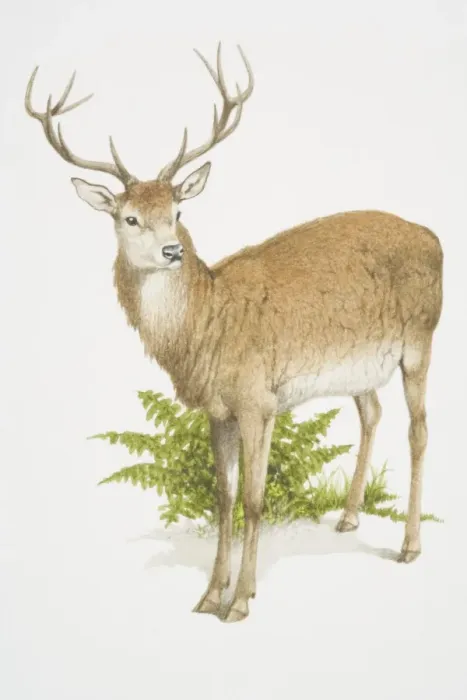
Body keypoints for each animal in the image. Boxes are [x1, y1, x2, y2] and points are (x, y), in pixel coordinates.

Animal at [25, 43, 443, 623]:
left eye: (178, 210)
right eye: (129, 217)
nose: (172, 250)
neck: (207, 331)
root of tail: (435, 238)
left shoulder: (257, 399)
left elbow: (253, 498)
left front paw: (241, 600)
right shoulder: (216, 407)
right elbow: (222, 497)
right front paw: (207, 595)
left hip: (421, 340)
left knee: (419, 429)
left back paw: (409, 545)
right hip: (362, 367)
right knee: (373, 413)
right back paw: (348, 518)